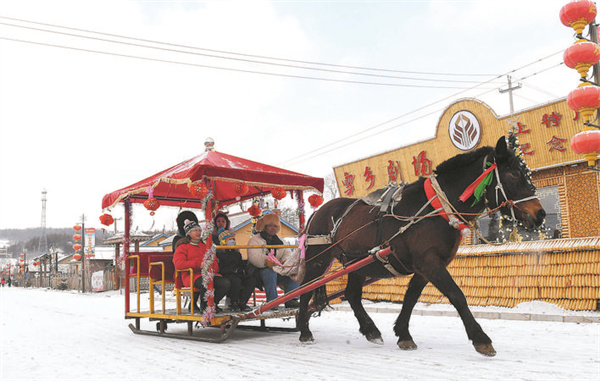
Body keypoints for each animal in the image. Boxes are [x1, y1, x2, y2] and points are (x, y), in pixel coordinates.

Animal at [298, 135, 548, 354]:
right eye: (514, 173)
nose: (540, 213)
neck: (437, 208)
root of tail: (318, 211)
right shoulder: (430, 262)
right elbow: (457, 295)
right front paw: (481, 339)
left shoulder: (424, 266)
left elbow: (410, 298)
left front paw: (404, 334)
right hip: (318, 259)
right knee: (305, 290)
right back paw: (303, 330)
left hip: (357, 263)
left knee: (351, 294)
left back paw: (371, 330)